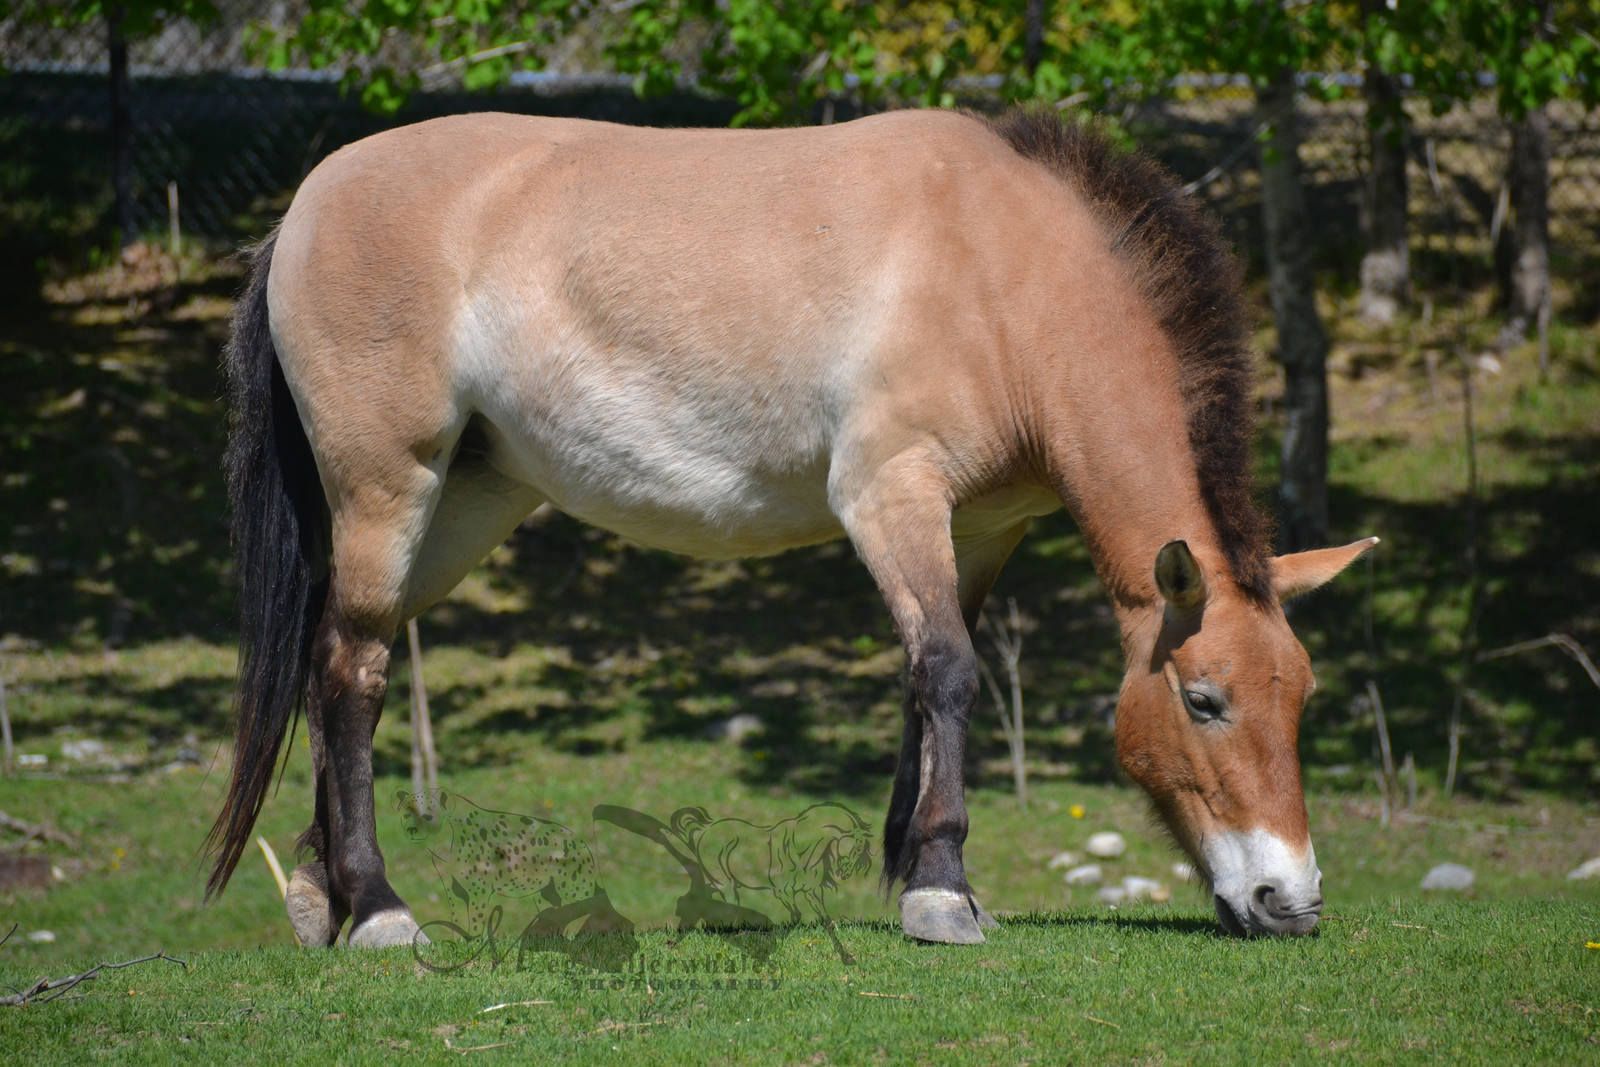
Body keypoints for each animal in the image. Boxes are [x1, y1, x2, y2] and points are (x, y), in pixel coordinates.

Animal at [204, 107, 1375, 949]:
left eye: (1302, 695)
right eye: (1205, 699)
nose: (1291, 901)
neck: (1002, 273)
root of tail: (307, 203)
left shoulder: (976, 530)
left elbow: (926, 679)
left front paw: (919, 872)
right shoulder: (891, 494)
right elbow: (949, 669)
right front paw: (942, 893)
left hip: (456, 510)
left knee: (331, 656)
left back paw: (318, 890)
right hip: (385, 490)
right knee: (352, 671)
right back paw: (378, 907)